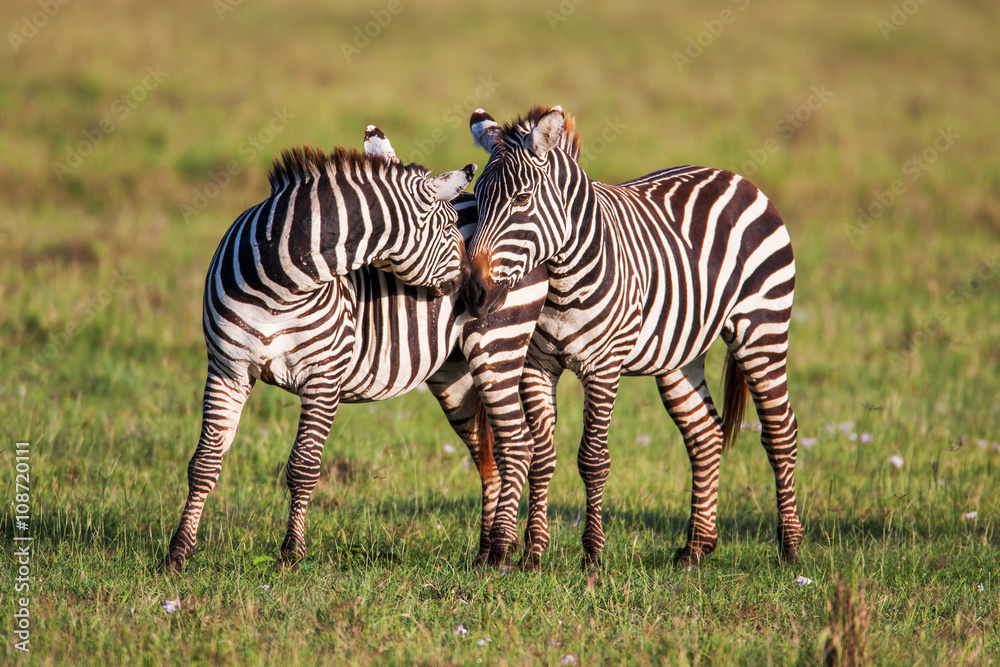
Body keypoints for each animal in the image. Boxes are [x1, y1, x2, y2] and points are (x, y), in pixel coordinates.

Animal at [166, 131, 548, 571]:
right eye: (450, 225)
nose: (473, 289)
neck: (276, 289)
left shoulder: (323, 376)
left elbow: (304, 466)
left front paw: (291, 555)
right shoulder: (226, 369)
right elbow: (204, 462)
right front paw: (177, 554)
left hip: (497, 346)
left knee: (517, 444)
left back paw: (500, 553)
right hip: (455, 375)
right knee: (487, 453)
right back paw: (485, 553)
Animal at [464, 105, 804, 569]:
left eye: (521, 199)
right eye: (477, 201)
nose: (474, 293)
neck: (561, 285)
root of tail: (733, 176)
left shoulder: (603, 367)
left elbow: (592, 459)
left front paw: (592, 557)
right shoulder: (537, 366)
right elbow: (542, 456)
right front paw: (533, 555)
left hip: (762, 328)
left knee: (780, 432)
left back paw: (790, 548)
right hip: (680, 352)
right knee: (705, 435)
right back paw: (696, 548)